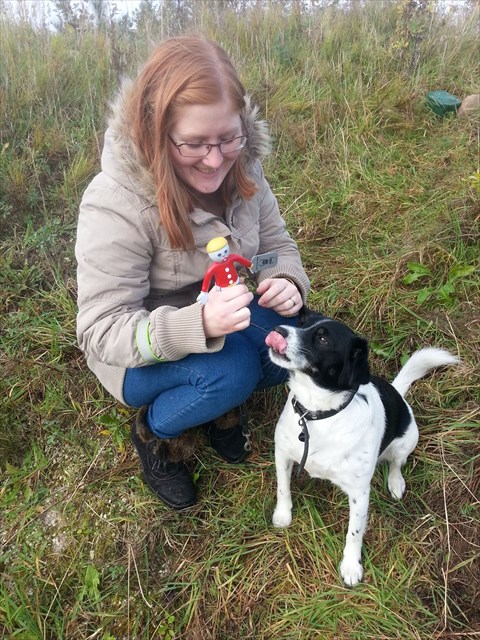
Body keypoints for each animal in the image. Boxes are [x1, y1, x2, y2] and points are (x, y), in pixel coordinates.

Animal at [266, 308, 458, 588]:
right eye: (300, 322)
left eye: (322, 339)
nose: (277, 331)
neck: (318, 413)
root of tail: (397, 393)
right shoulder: (282, 453)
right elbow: (283, 488)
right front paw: (283, 515)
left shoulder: (360, 493)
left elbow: (354, 532)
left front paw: (351, 566)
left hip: (406, 440)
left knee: (396, 463)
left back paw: (396, 483)